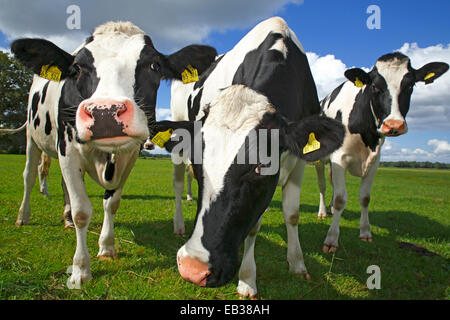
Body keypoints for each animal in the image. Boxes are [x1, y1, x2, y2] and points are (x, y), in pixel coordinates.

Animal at [8, 22, 216, 288]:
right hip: (32, 138)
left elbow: (112, 203)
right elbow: (82, 212)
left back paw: (65, 219)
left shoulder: (130, 155)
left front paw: (106, 247)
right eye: (76, 68)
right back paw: (23, 216)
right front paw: (80, 270)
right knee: (29, 176)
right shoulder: (67, 149)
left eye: (154, 66)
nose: (105, 112)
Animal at [153, 16, 346, 298]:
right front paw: (247, 280)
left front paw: (297, 263)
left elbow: (291, 213)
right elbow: (254, 225)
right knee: (178, 184)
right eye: (198, 165)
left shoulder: (298, 160)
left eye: (259, 167)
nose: (193, 269)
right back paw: (179, 225)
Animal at [316, 52, 450, 252]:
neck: (366, 132)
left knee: (332, 183)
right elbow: (341, 198)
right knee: (323, 186)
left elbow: (365, 198)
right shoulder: (340, 158)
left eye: (410, 86)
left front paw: (365, 232)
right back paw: (323, 212)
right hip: (320, 160)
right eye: (375, 87)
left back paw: (331, 210)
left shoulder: (374, 161)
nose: (394, 125)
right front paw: (331, 239)